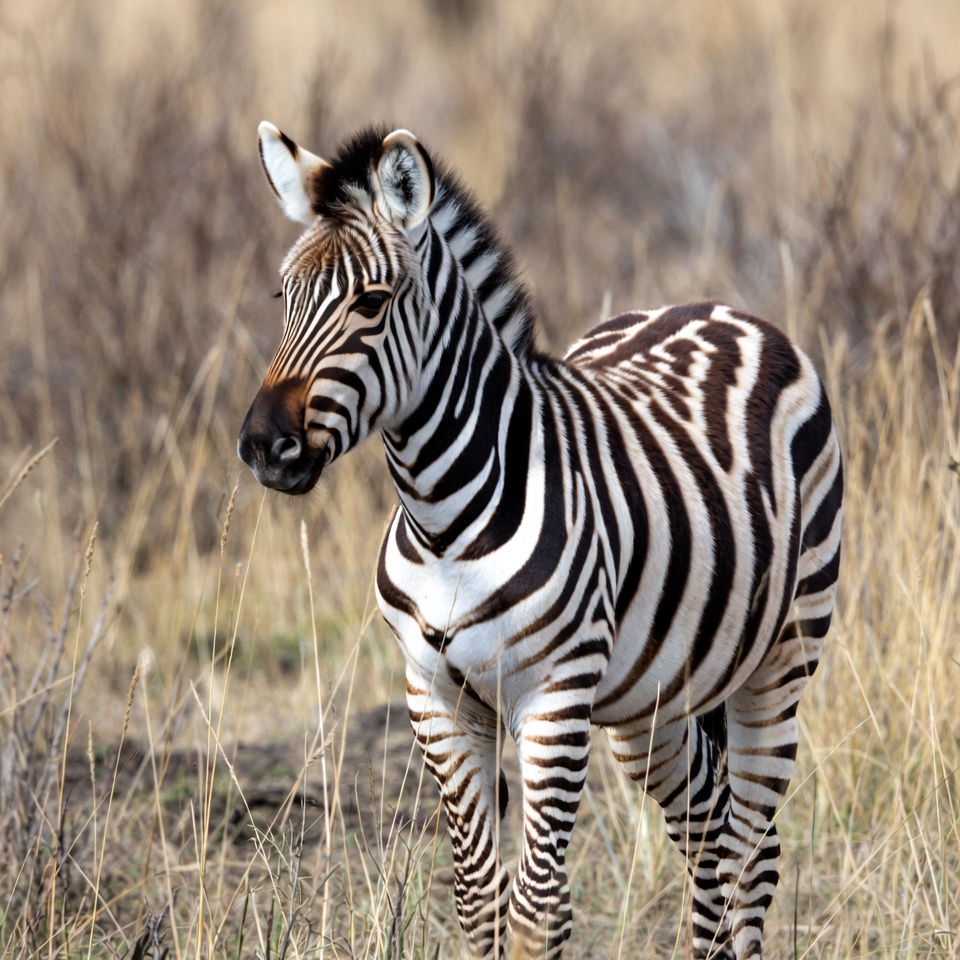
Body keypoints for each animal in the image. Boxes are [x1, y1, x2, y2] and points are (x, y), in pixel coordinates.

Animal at [238, 122, 843, 960]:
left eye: (371, 303)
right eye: (284, 298)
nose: (264, 447)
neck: (445, 519)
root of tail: (726, 310)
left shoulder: (552, 700)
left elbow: (535, 909)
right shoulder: (434, 699)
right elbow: (479, 901)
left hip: (781, 663)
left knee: (751, 851)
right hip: (652, 700)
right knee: (710, 834)